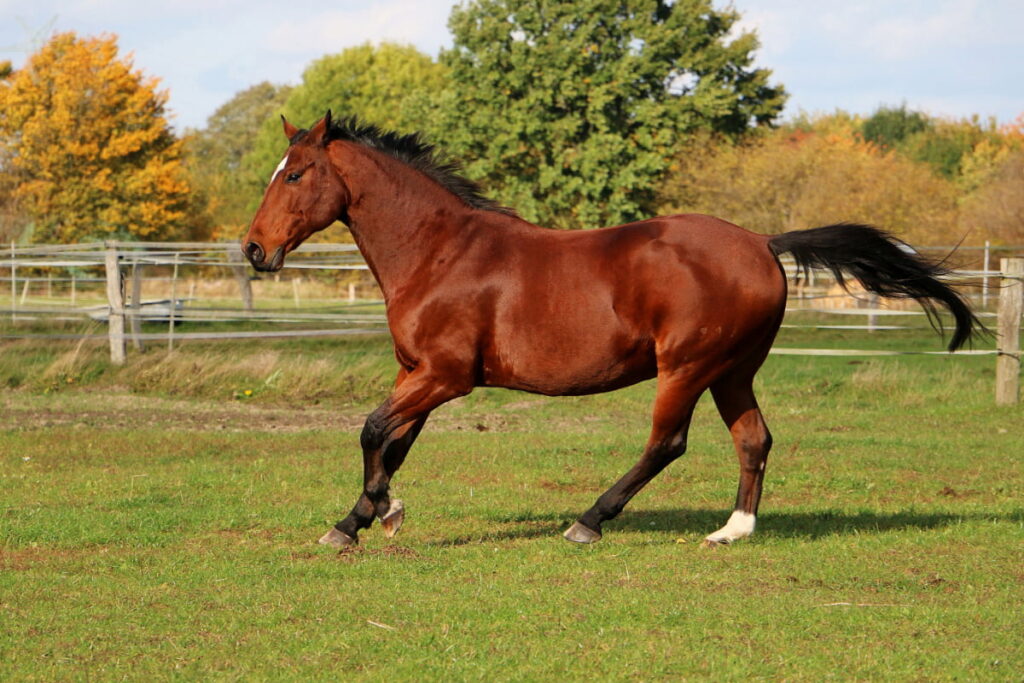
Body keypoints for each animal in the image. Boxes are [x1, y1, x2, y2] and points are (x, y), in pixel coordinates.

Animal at [241, 112, 983, 548]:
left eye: (296, 173)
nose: (253, 250)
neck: (439, 250)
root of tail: (763, 243)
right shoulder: (416, 371)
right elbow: (392, 444)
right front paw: (366, 517)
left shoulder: (446, 376)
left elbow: (372, 431)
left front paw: (366, 518)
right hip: (733, 371)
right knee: (754, 439)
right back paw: (733, 531)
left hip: (687, 367)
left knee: (667, 443)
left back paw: (589, 521)